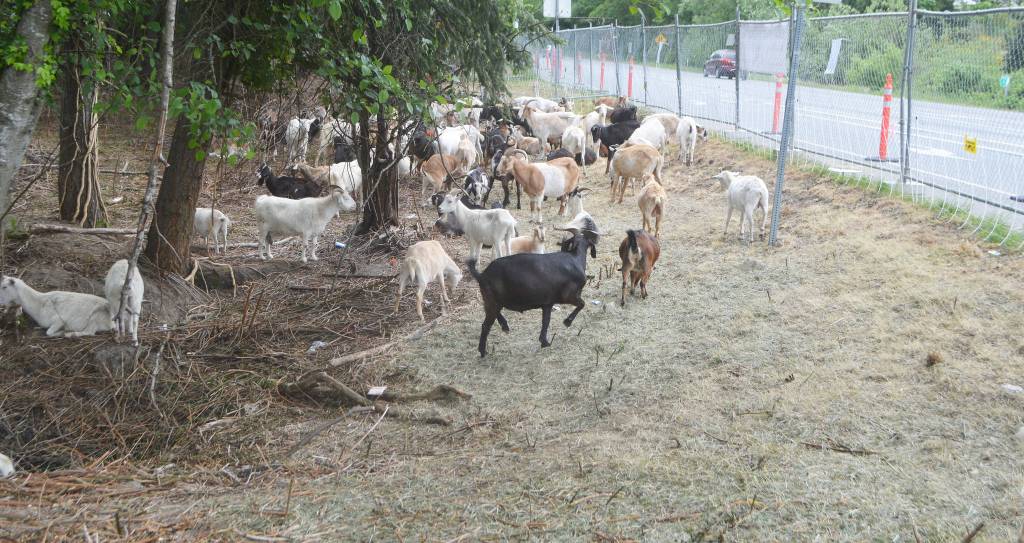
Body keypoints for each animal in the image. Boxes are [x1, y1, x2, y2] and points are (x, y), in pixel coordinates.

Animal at [465, 213, 600, 357]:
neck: (575, 259)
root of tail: (482, 275)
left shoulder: (548, 303)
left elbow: (546, 321)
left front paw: (544, 342)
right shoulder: (569, 296)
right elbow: (582, 304)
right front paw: (567, 322)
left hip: (492, 300)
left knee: (495, 314)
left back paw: (504, 326)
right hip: (493, 301)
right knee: (486, 325)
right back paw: (483, 351)